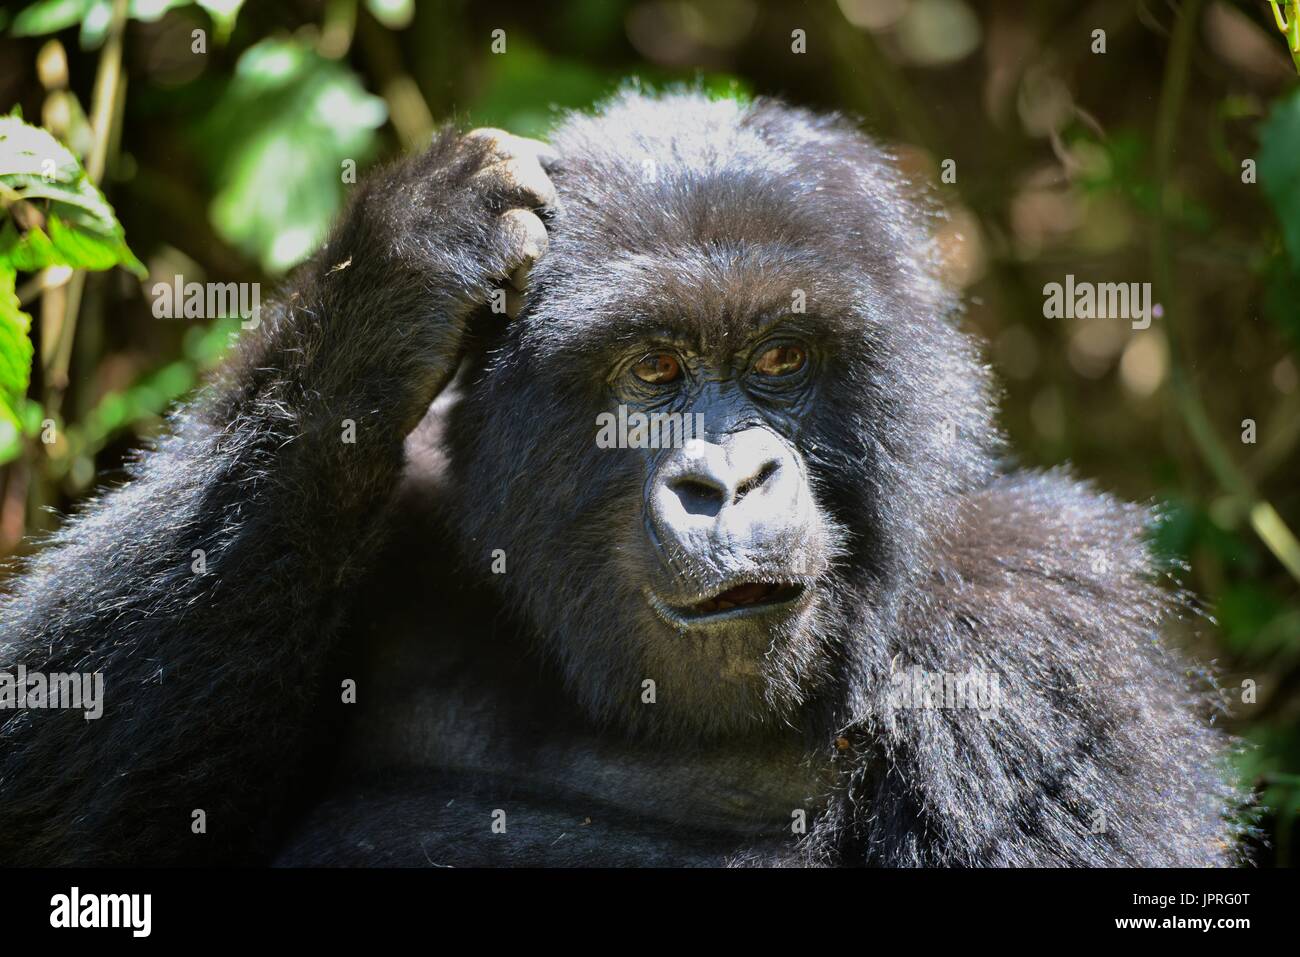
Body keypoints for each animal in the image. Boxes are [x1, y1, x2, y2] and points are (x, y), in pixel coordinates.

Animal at [0, 89, 1242, 868]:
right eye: (652, 369)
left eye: (781, 361)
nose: (728, 485)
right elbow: (58, 793)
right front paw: (389, 283)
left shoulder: (1040, 627)